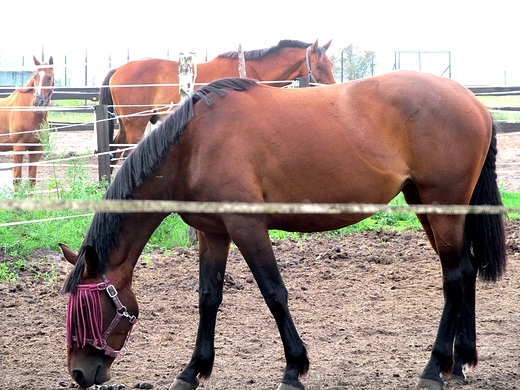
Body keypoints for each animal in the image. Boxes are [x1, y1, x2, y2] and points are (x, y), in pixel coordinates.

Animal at [0, 54, 54, 186]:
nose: (37, 102)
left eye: (49, 77)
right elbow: (17, 179)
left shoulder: (36, 149)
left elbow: (31, 181)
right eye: (35, 76)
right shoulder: (18, 148)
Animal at [60, 71, 504, 390]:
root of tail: (476, 104)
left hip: (443, 208)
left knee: (454, 277)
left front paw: (294, 369)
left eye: (85, 309)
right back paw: (460, 362)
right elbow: (208, 298)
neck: (194, 145)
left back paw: (435, 368)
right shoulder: (214, 232)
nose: (79, 374)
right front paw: (192, 371)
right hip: (426, 205)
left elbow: (274, 293)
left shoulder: (247, 226)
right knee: (465, 272)